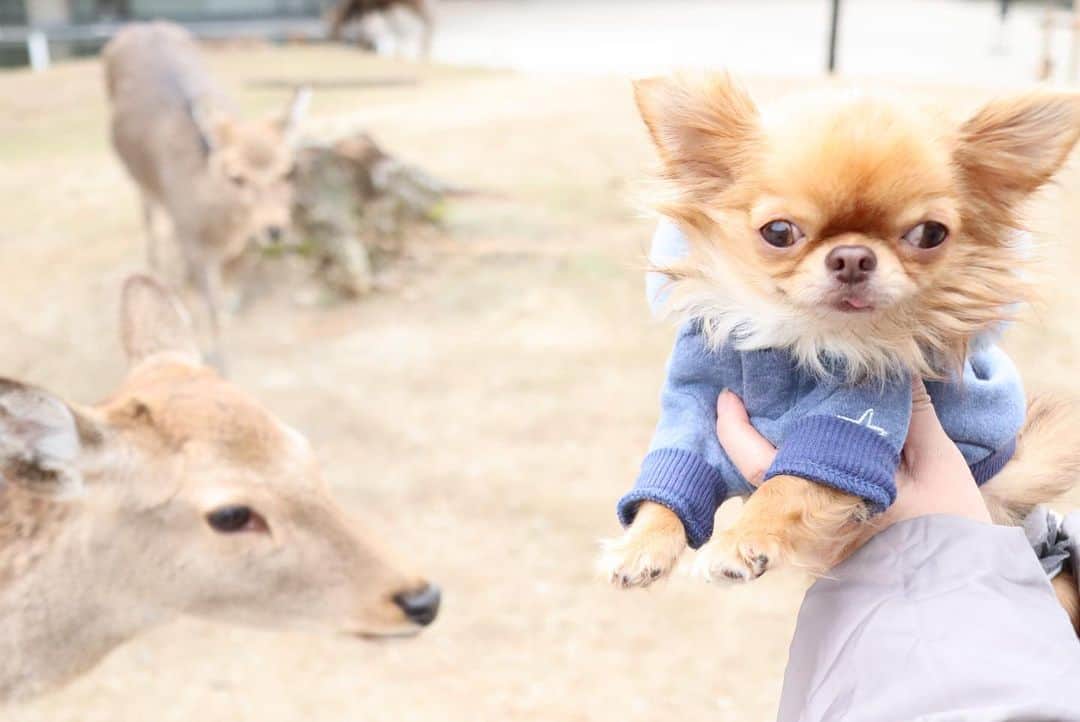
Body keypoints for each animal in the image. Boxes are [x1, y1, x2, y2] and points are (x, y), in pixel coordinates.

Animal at [104, 21, 310, 371]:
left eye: (289, 170)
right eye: (237, 176)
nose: (274, 230)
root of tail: (141, 26)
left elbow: (222, 293)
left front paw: (227, 308)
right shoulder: (192, 241)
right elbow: (207, 303)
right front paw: (217, 357)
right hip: (138, 180)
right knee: (147, 212)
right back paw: (157, 266)